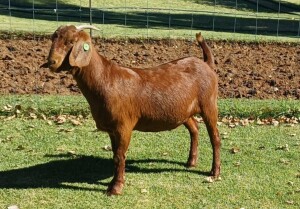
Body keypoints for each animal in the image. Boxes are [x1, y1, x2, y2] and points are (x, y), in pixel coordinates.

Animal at [41, 24, 220, 196]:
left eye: (71, 42)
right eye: (53, 39)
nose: (51, 62)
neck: (106, 79)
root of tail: (206, 64)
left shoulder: (124, 126)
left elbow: (119, 156)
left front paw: (116, 188)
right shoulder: (112, 129)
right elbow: (115, 155)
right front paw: (114, 183)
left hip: (209, 104)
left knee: (215, 138)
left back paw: (214, 172)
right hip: (183, 112)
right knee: (194, 129)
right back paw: (191, 162)